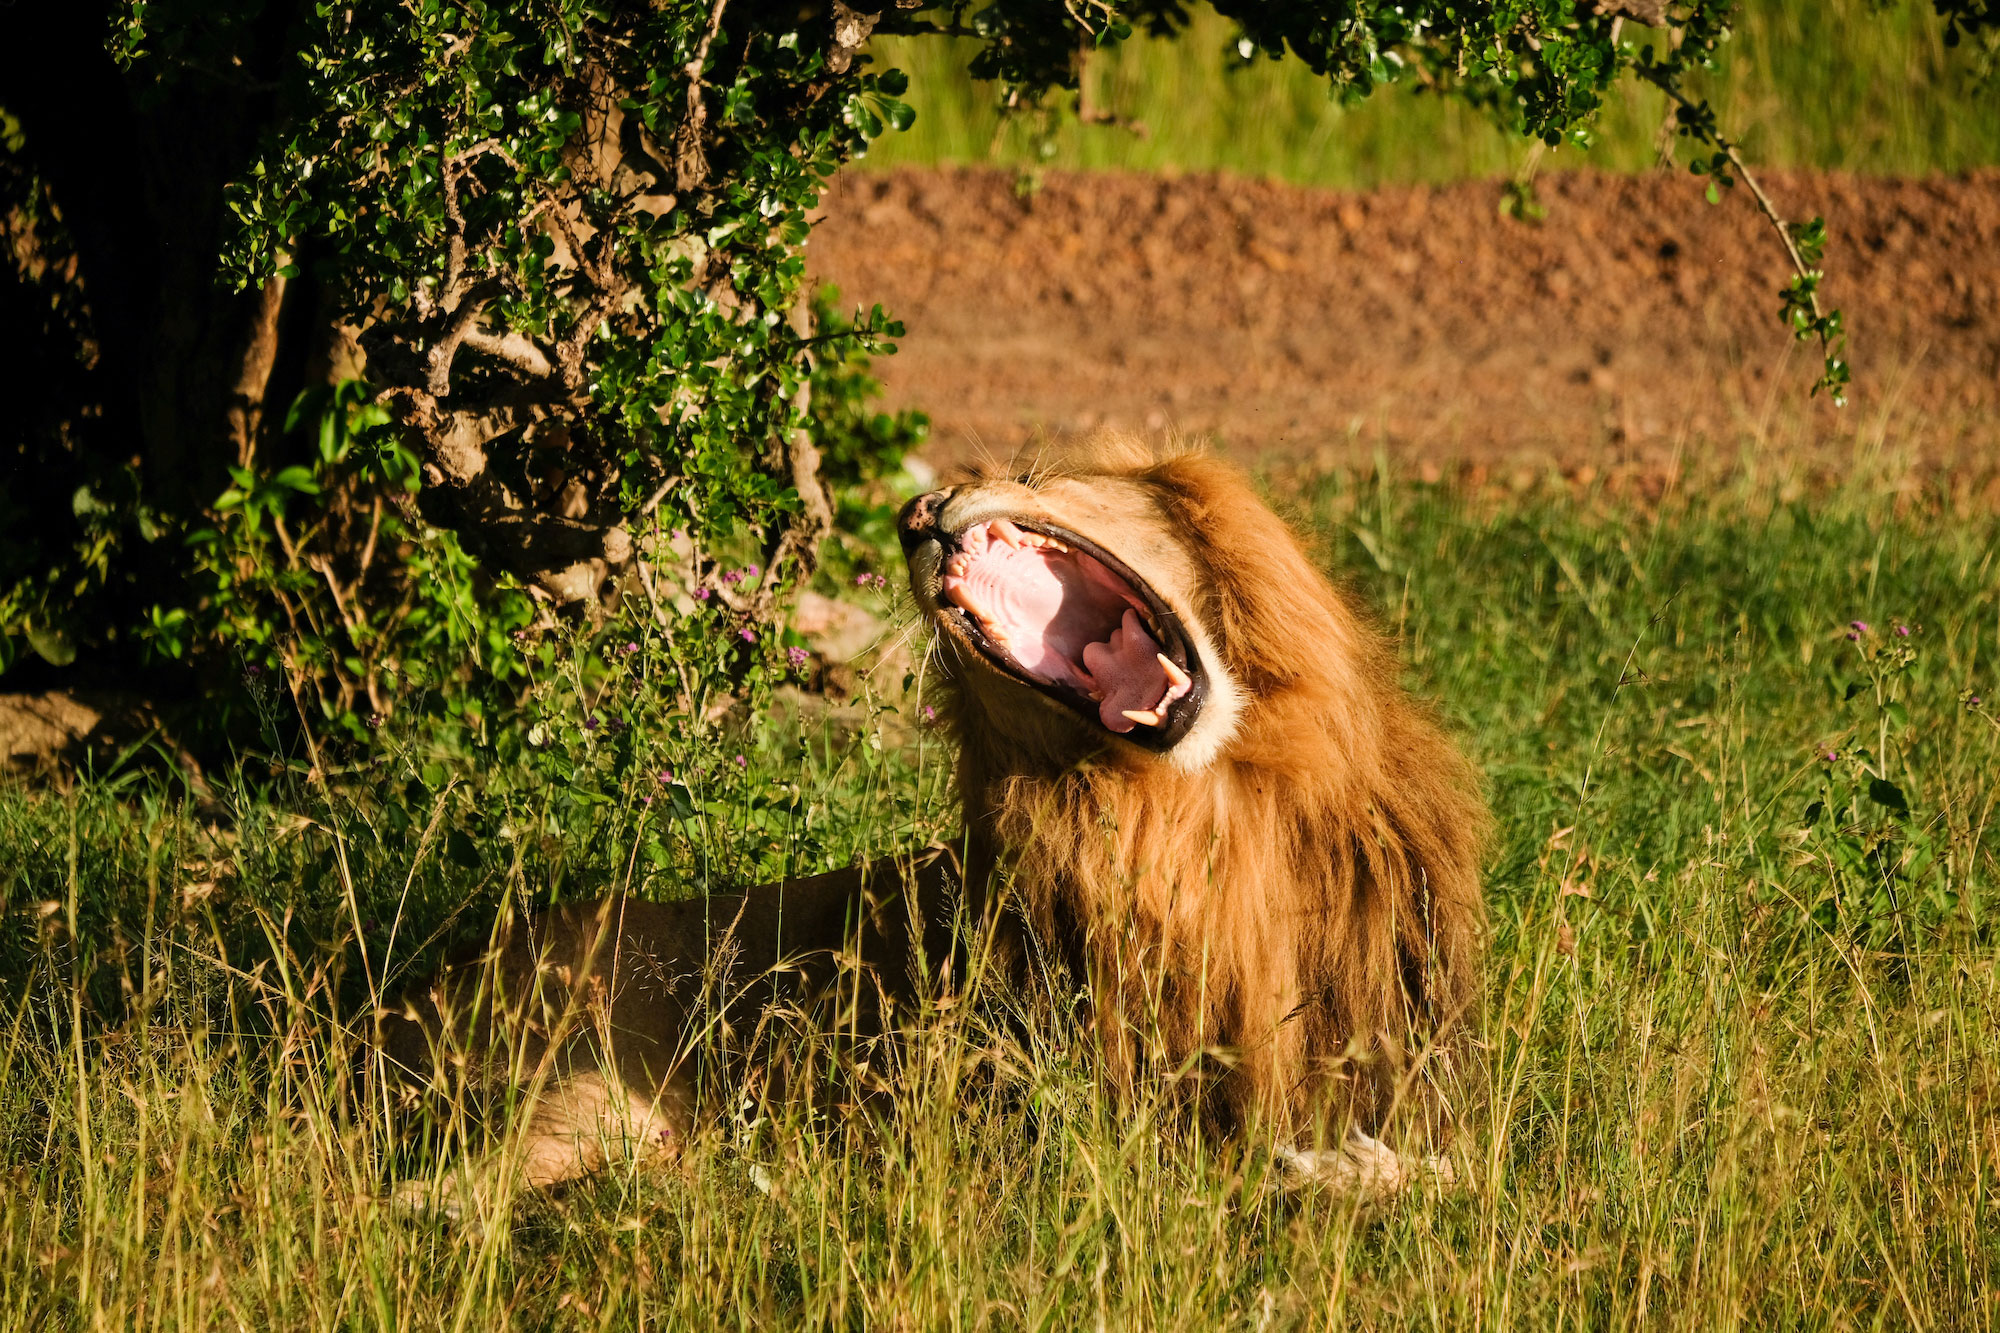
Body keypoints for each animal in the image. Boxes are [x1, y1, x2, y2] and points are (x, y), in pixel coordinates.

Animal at [376, 434, 1488, 1192]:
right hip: (590, 1089)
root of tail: (408, 994)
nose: (915, 514)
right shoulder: (1060, 1112)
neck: (1195, 816)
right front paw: (1323, 1173)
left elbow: (1455, 1168)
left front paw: (1351, 1166)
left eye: (1033, 471)